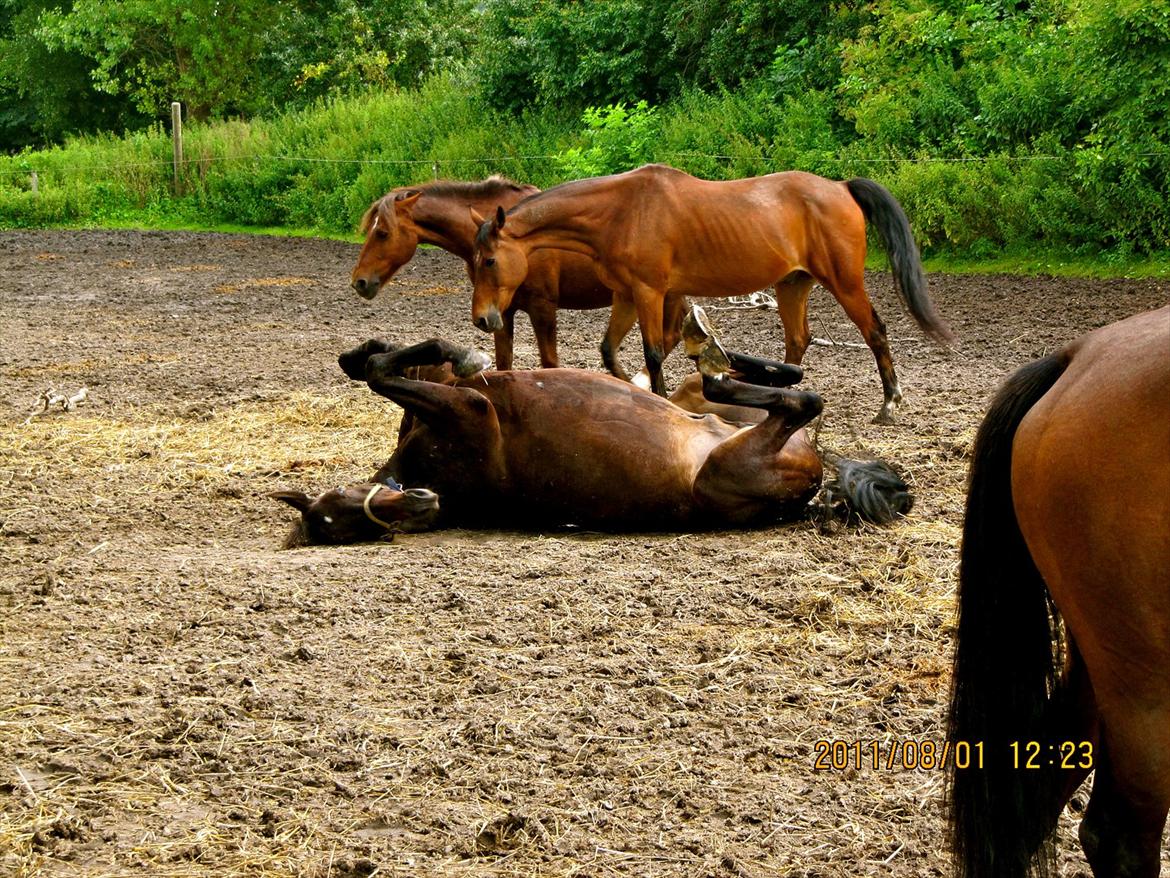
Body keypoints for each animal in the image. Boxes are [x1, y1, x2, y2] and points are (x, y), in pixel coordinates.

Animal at [273, 309, 912, 543]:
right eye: (344, 522)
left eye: (341, 503)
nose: (420, 503)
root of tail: (814, 486)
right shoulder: (469, 410)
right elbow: (382, 370)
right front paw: (464, 353)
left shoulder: (447, 400)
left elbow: (370, 363)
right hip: (735, 454)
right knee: (798, 398)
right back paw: (711, 356)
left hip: (708, 411)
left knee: (782, 379)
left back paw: (708, 345)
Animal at [351, 176, 683, 379]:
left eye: (382, 233)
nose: (359, 281)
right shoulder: (501, 312)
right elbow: (503, 362)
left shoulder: (542, 308)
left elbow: (550, 363)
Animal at [465, 167, 950, 426]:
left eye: (488, 260)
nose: (483, 319)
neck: (621, 212)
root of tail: (841, 187)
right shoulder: (626, 296)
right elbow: (609, 349)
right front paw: (629, 388)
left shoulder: (649, 292)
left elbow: (653, 352)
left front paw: (657, 398)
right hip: (792, 285)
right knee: (798, 343)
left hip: (845, 284)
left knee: (875, 332)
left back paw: (890, 403)